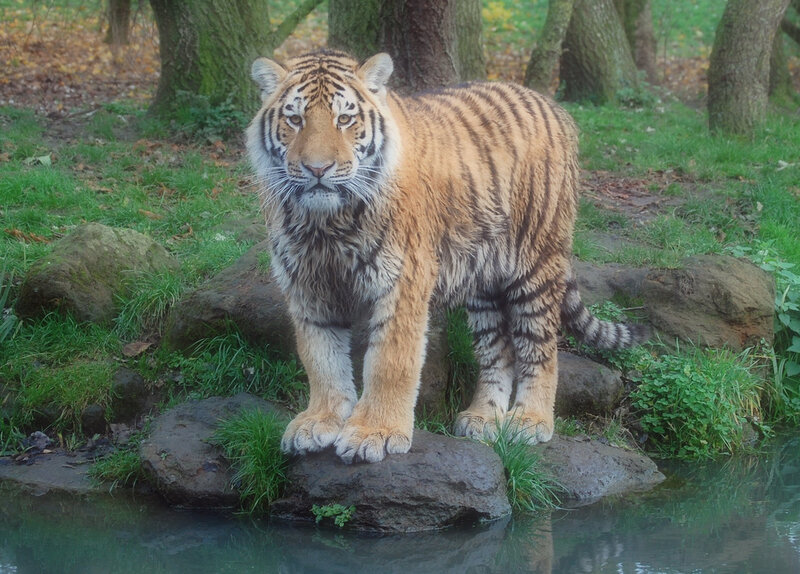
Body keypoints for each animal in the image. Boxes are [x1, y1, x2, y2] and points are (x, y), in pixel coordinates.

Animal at [246, 50, 648, 464]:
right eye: (295, 119)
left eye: (345, 119)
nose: (318, 169)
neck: (325, 224)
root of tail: (555, 107)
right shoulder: (306, 283)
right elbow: (320, 357)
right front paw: (318, 422)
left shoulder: (402, 279)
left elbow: (390, 361)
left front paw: (375, 433)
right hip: (484, 280)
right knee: (497, 351)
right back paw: (483, 417)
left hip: (535, 264)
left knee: (541, 348)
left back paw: (530, 421)